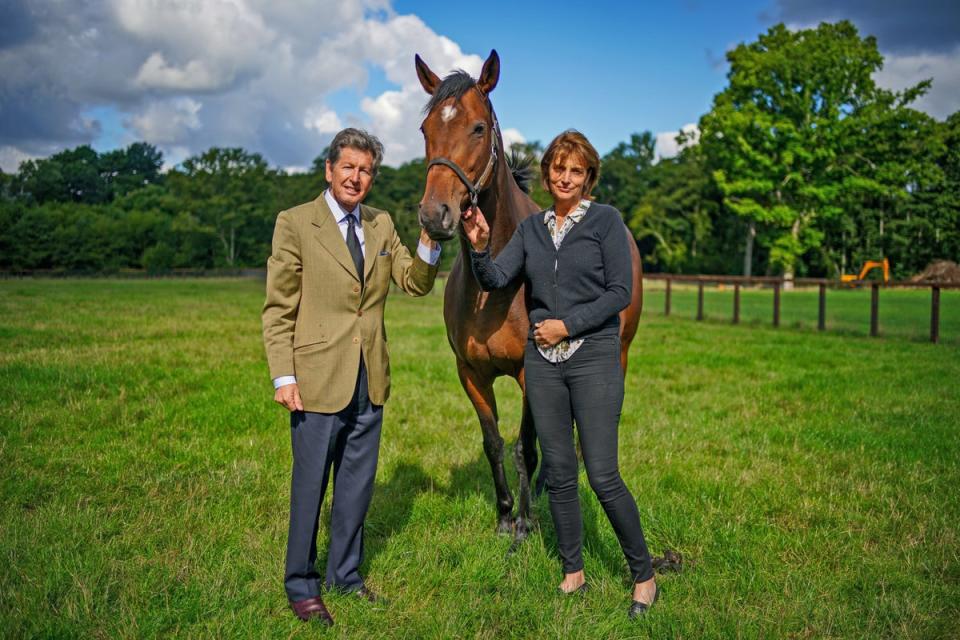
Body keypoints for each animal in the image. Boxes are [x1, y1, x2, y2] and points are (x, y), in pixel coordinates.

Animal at [414, 50, 644, 544]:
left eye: (478, 127)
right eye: (425, 130)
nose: (435, 214)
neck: (494, 291)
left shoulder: (528, 371)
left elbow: (525, 446)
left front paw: (524, 523)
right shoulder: (470, 375)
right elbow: (494, 443)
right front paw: (505, 515)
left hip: (618, 353)